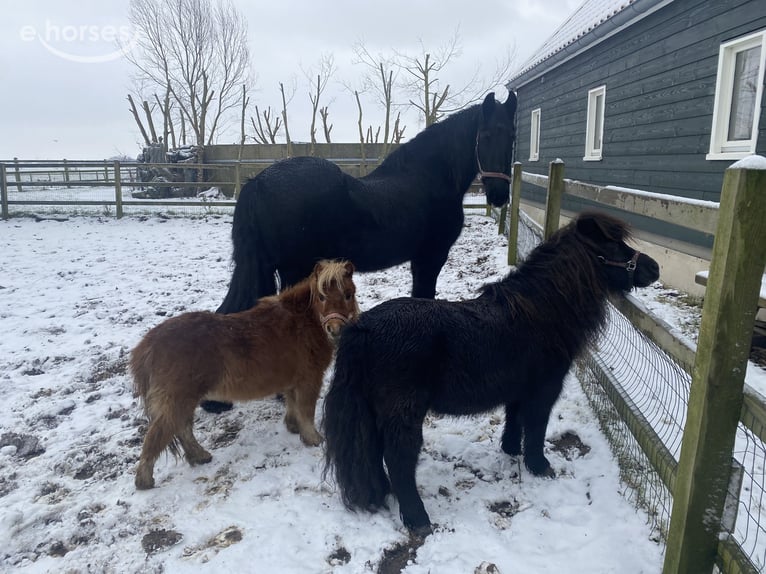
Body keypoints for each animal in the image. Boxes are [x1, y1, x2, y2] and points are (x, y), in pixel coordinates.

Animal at [130, 260, 359, 490]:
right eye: (321, 297)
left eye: (348, 294)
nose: (335, 329)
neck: (302, 321)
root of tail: (149, 343)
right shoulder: (309, 380)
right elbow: (306, 411)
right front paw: (313, 439)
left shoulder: (292, 381)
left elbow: (292, 405)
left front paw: (293, 427)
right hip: (178, 399)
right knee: (159, 434)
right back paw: (145, 481)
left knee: (183, 428)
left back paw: (199, 456)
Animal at [322, 212, 660, 535]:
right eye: (613, 247)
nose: (654, 267)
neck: (541, 312)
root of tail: (362, 329)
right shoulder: (544, 389)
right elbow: (535, 427)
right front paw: (539, 466)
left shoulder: (518, 389)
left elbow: (514, 419)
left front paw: (511, 451)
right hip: (403, 413)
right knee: (398, 459)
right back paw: (418, 519)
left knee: (373, 452)